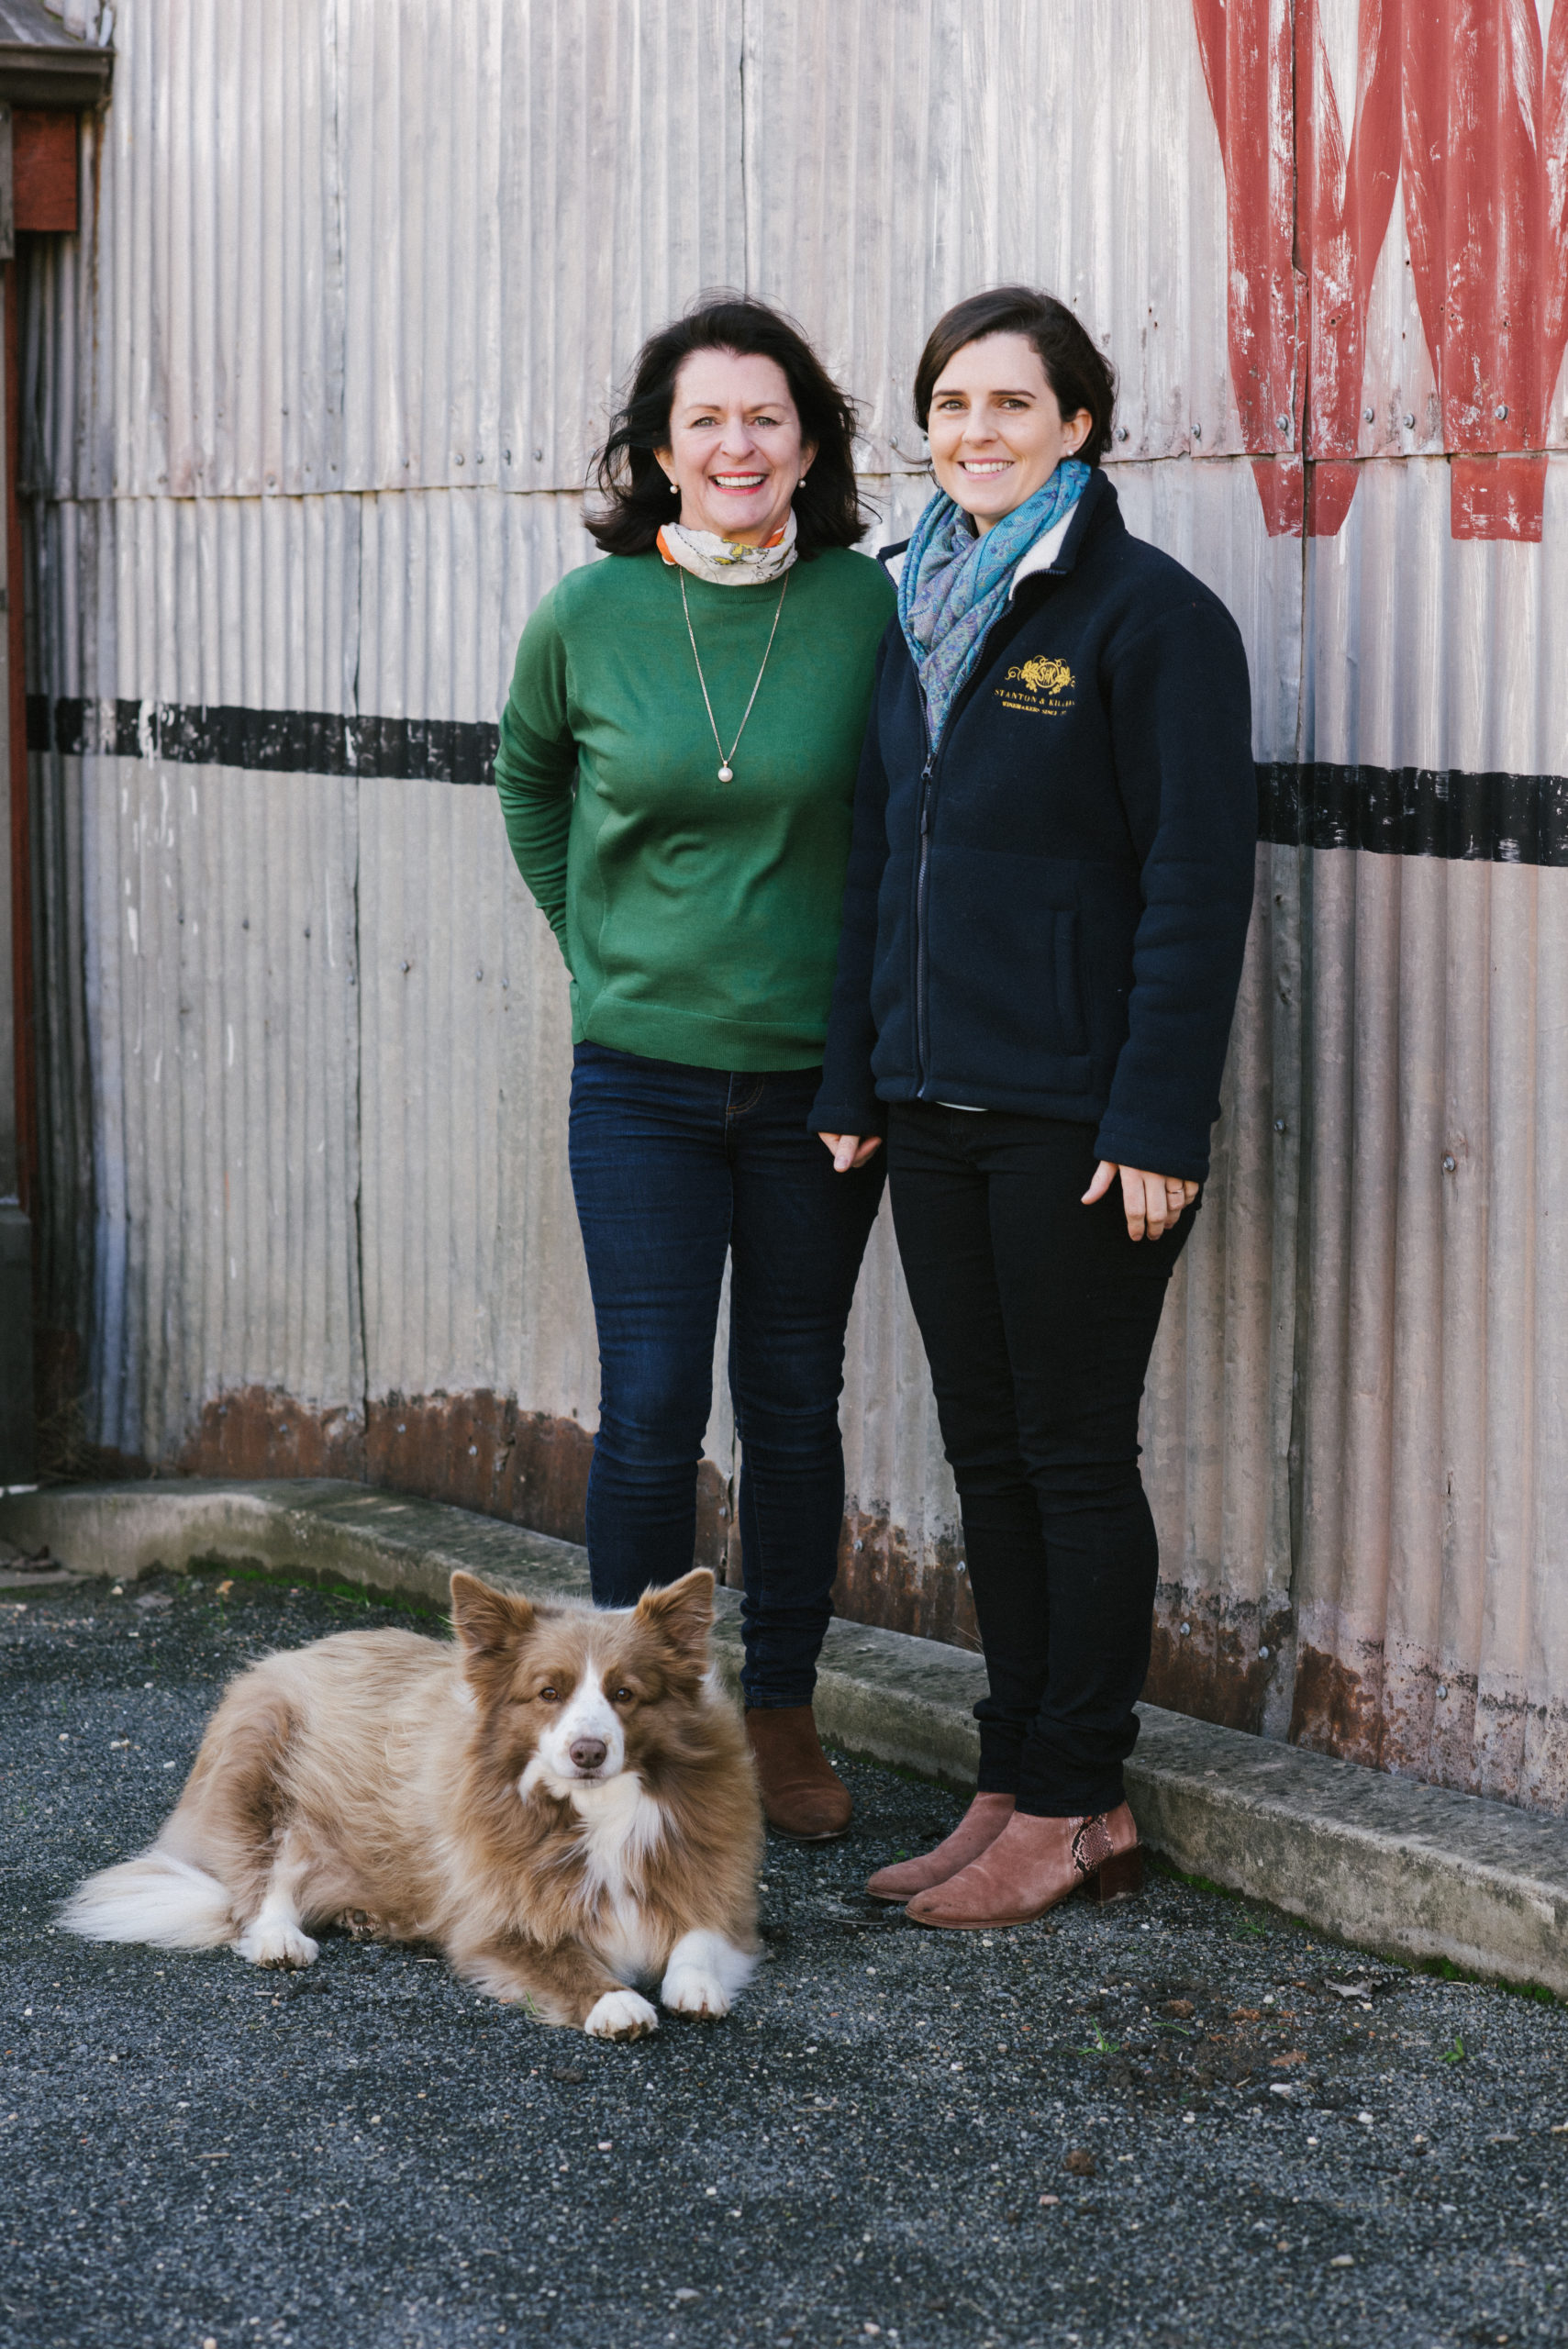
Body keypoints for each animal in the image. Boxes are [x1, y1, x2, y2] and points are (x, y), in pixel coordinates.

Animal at [64, 1569, 760, 2048]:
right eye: (548, 1693)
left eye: (625, 1694)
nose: (587, 1751)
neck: (594, 1813)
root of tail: (290, 1653)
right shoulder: (495, 1918)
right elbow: (561, 1959)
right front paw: (614, 2001)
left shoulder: (707, 1871)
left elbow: (701, 1930)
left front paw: (694, 1982)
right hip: (260, 1761)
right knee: (259, 1879)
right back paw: (281, 1937)